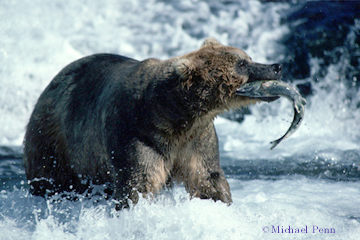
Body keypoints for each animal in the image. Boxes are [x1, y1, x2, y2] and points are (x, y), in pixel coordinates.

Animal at [23, 37, 282, 208]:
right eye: (242, 64)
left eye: (248, 57)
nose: (276, 66)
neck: (175, 114)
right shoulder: (137, 133)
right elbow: (139, 182)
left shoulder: (197, 139)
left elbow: (207, 177)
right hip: (54, 141)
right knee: (51, 177)